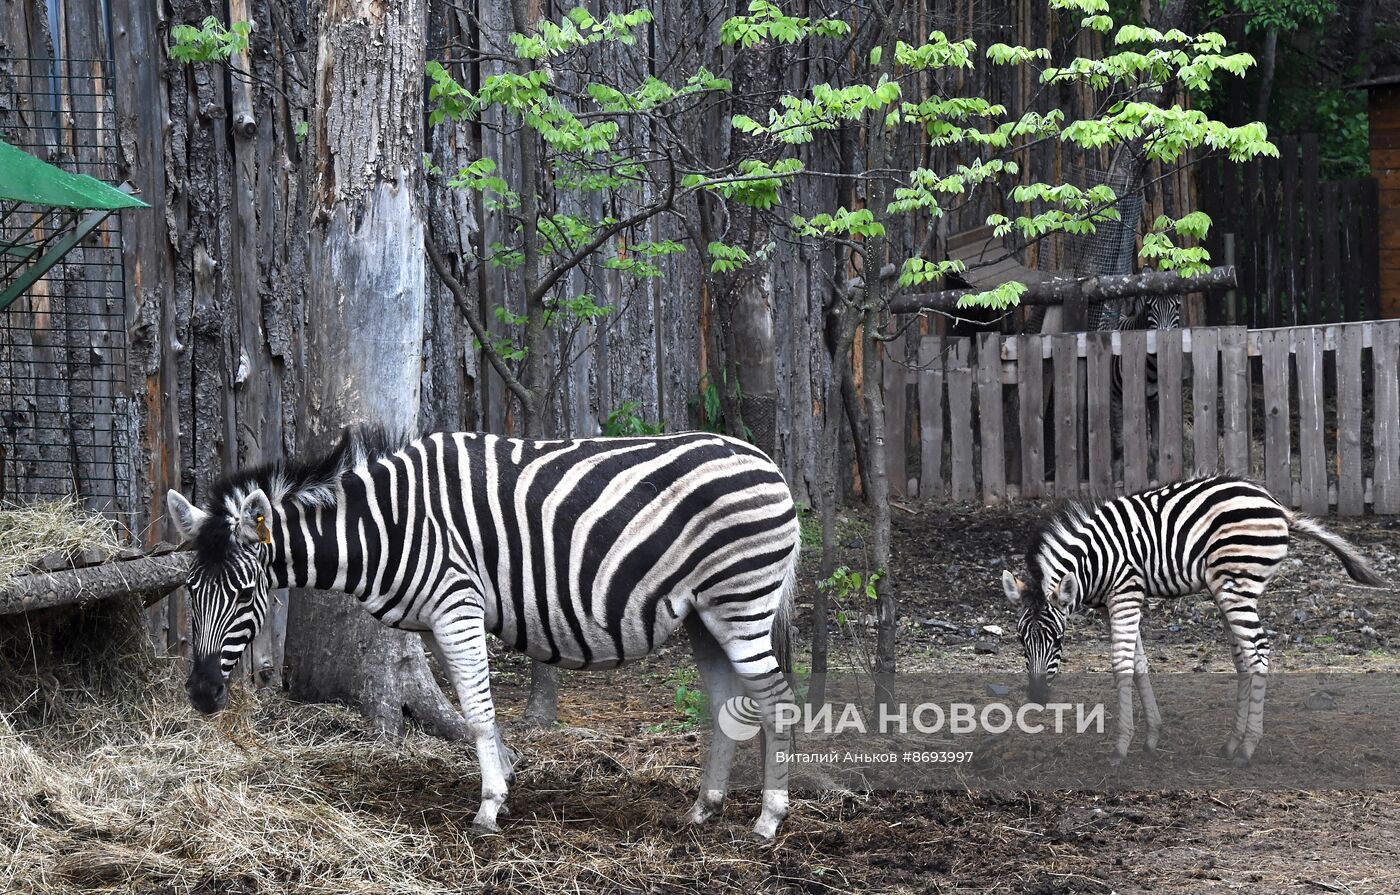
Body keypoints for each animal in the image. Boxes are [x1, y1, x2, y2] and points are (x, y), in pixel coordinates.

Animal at [163, 425, 800, 840]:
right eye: (190, 591)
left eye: (246, 593)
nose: (201, 695)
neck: (386, 525)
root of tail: (768, 461)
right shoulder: (441, 616)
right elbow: (469, 703)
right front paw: (504, 782)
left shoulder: (457, 603)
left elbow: (476, 707)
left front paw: (491, 806)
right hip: (703, 614)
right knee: (727, 700)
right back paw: (704, 809)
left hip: (741, 601)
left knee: (776, 700)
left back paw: (769, 818)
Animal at [1002, 479, 1383, 767]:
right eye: (1021, 639)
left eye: (1057, 639)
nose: (1036, 697)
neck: (1093, 562)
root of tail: (1277, 505)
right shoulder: (1119, 602)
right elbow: (1140, 664)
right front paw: (1152, 736)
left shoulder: (1125, 593)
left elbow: (1122, 664)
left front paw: (1121, 747)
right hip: (1228, 590)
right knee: (1243, 659)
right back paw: (1232, 743)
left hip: (1237, 587)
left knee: (1258, 654)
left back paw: (1248, 749)